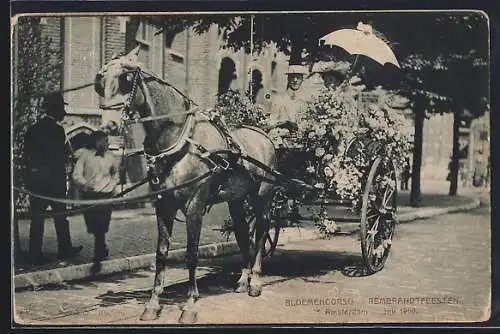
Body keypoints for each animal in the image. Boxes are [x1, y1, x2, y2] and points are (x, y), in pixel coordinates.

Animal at [94, 45, 278, 322]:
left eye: (126, 79)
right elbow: (161, 253)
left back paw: (255, 281)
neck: (180, 142)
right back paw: (242, 280)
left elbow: (192, 253)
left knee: (261, 231)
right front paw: (153, 304)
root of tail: (264, 135)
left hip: (262, 197)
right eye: (101, 81)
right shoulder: (163, 206)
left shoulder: (194, 207)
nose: (108, 125)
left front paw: (190, 305)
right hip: (236, 200)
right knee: (243, 232)